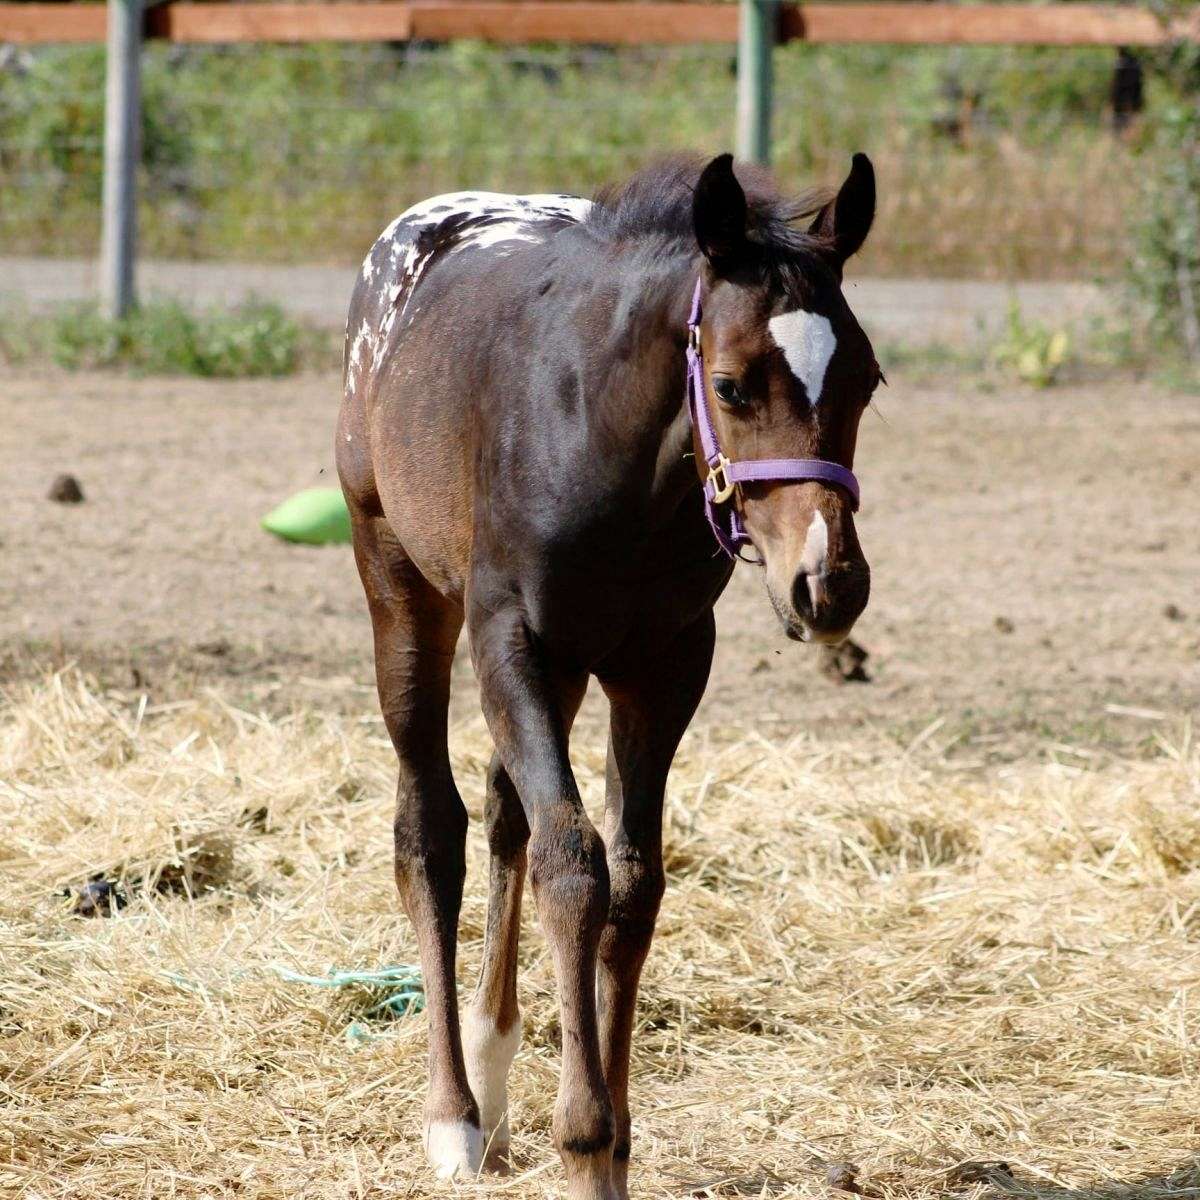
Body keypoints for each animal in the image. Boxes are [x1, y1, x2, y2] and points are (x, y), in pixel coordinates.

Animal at [338, 154, 883, 1195]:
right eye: (732, 385)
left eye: (867, 382)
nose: (830, 584)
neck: (613, 451)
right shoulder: (508, 638)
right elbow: (572, 865)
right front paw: (584, 1144)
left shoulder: (664, 664)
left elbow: (633, 882)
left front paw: (618, 1144)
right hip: (398, 582)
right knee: (432, 827)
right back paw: (455, 1118)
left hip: (567, 670)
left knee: (502, 813)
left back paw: (495, 1075)